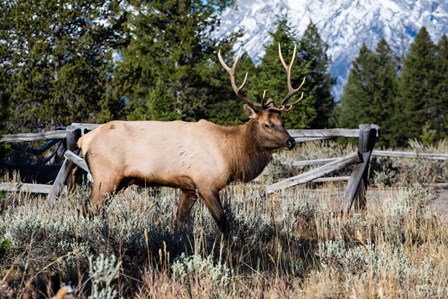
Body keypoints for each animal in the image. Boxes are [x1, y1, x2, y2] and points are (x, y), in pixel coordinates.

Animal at [79, 44, 306, 233]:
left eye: (282, 122)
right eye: (267, 124)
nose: (290, 141)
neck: (230, 154)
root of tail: (84, 140)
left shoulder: (188, 188)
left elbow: (180, 223)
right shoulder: (206, 183)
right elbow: (223, 222)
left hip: (117, 182)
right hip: (105, 178)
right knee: (88, 208)